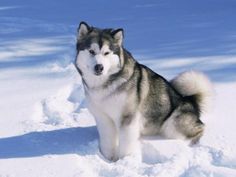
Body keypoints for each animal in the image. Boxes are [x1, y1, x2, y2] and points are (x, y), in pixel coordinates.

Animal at [74, 21, 213, 161]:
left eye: (106, 53)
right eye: (91, 51)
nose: (99, 67)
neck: (104, 84)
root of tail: (191, 101)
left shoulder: (127, 118)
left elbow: (126, 144)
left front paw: (124, 160)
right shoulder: (104, 118)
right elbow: (107, 141)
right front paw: (108, 158)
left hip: (173, 125)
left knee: (199, 130)